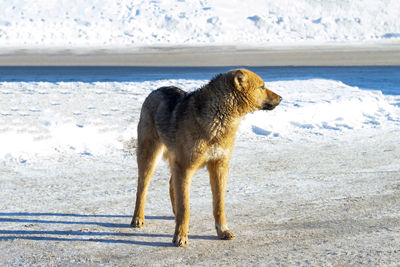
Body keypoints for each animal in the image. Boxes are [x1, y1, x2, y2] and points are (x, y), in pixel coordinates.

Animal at [131, 68, 282, 247]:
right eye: (262, 87)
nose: (281, 98)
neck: (219, 119)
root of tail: (156, 90)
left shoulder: (219, 166)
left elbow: (219, 205)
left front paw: (222, 231)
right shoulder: (185, 167)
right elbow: (185, 208)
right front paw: (180, 236)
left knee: (170, 184)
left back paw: (173, 214)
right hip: (150, 158)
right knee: (142, 188)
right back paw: (137, 218)